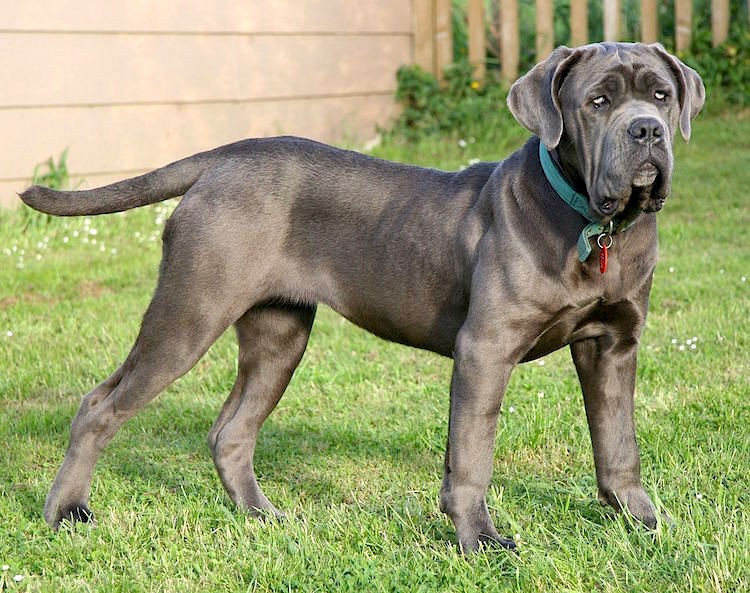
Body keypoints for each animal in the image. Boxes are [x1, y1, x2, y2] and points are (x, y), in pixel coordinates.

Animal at [20, 41, 708, 552]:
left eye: (662, 96)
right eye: (597, 101)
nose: (647, 132)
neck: (594, 224)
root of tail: (225, 158)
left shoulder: (612, 345)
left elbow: (618, 444)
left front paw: (644, 523)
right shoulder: (486, 349)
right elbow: (471, 455)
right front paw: (479, 541)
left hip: (279, 336)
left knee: (231, 431)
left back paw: (263, 517)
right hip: (189, 313)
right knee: (99, 405)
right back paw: (65, 512)